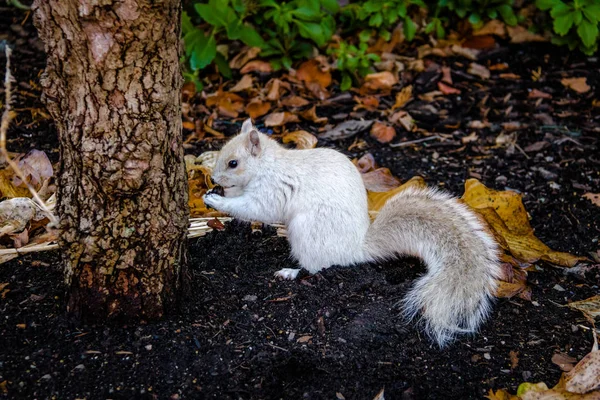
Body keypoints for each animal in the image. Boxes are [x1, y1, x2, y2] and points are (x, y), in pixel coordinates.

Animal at [204, 119, 504, 346]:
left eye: (233, 163)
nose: (214, 180)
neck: (267, 166)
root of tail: (357, 249)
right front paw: (220, 193)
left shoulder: (273, 190)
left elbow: (256, 208)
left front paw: (217, 201)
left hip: (308, 234)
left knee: (315, 267)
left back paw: (290, 272)